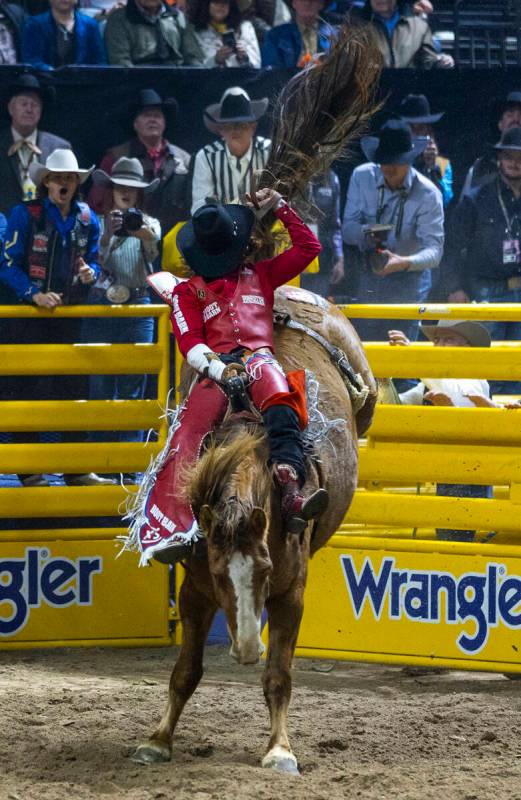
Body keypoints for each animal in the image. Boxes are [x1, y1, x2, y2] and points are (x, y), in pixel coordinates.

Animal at [134, 290, 376, 776]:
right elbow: (185, 671)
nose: (246, 649)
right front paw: (158, 740)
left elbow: (279, 675)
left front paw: (280, 750)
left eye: (265, 568)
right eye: (218, 572)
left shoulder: (290, 594)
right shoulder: (194, 592)